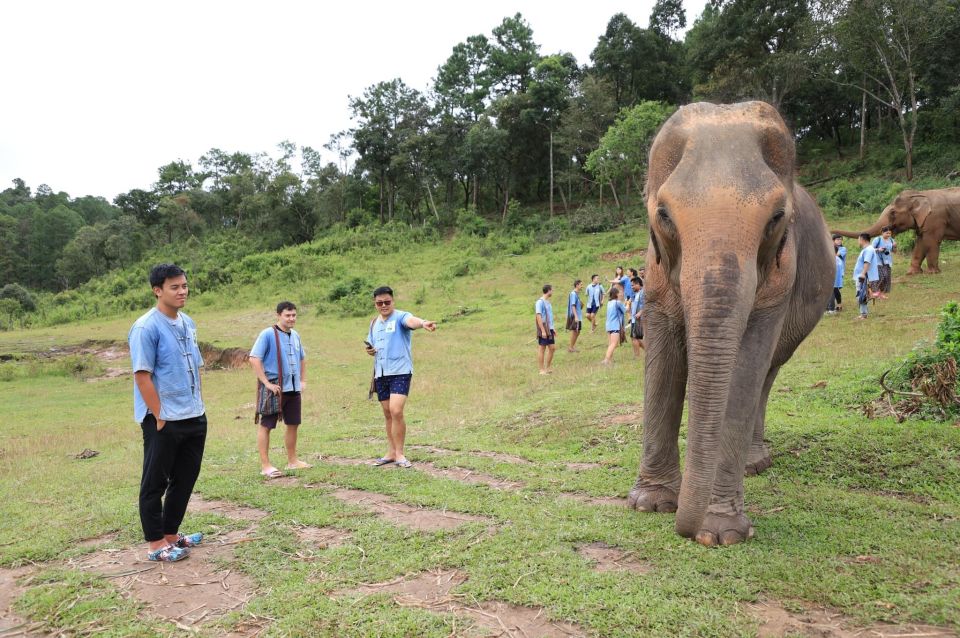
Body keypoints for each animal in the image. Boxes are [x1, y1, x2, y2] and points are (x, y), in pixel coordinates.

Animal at [628, 102, 836, 548]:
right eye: (664, 215)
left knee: (768, 373)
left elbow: (746, 368)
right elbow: (664, 356)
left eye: (776, 217)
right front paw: (650, 504)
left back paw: (755, 464)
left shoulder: (780, 276)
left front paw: (720, 534)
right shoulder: (653, 273)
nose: (683, 530)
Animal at [832, 186, 960, 274]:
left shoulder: (935, 218)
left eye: (893, 213)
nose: (832, 232)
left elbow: (931, 241)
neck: (920, 194)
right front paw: (912, 273)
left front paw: (933, 273)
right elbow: (920, 242)